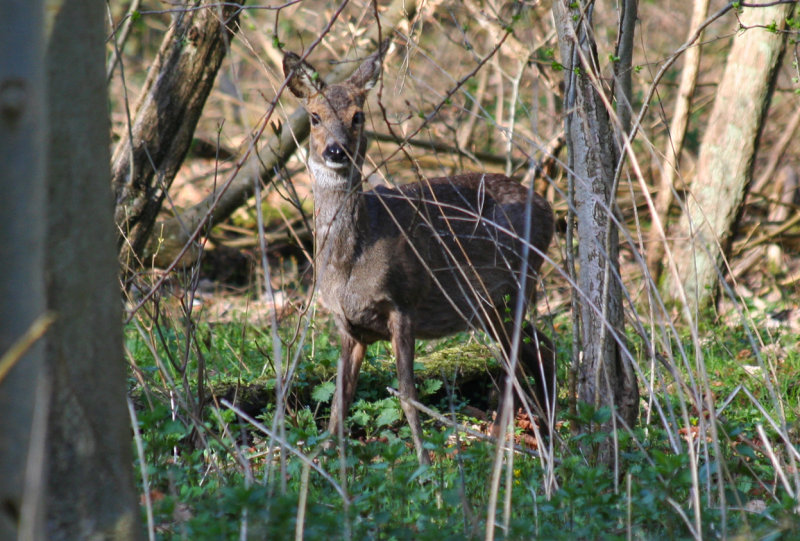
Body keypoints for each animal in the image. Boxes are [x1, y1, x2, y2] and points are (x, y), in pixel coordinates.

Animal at [286, 44, 556, 462]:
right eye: (314, 117)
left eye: (358, 115)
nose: (336, 150)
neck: (349, 263)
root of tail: (549, 209)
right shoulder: (347, 325)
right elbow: (339, 402)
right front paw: (324, 459)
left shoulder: (404, 303)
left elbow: (408, 395)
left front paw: (425, 464)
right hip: (493, 305)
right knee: (544, 349)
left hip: (513, 287)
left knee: (520, 361)